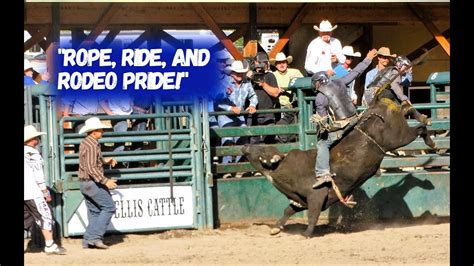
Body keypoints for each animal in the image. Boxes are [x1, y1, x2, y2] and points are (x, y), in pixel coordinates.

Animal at [243, 88, 436, 238]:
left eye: (261, 152)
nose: (245, 146)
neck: (284, 168)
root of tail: (376, 103)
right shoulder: (300, 200)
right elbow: (288, 211)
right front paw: (276, 228)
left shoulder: (316, 196)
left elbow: (312, 216)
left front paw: (307, 234)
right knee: (407, 109)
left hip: (399, 137)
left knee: (418, 130)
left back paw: (430, 142)